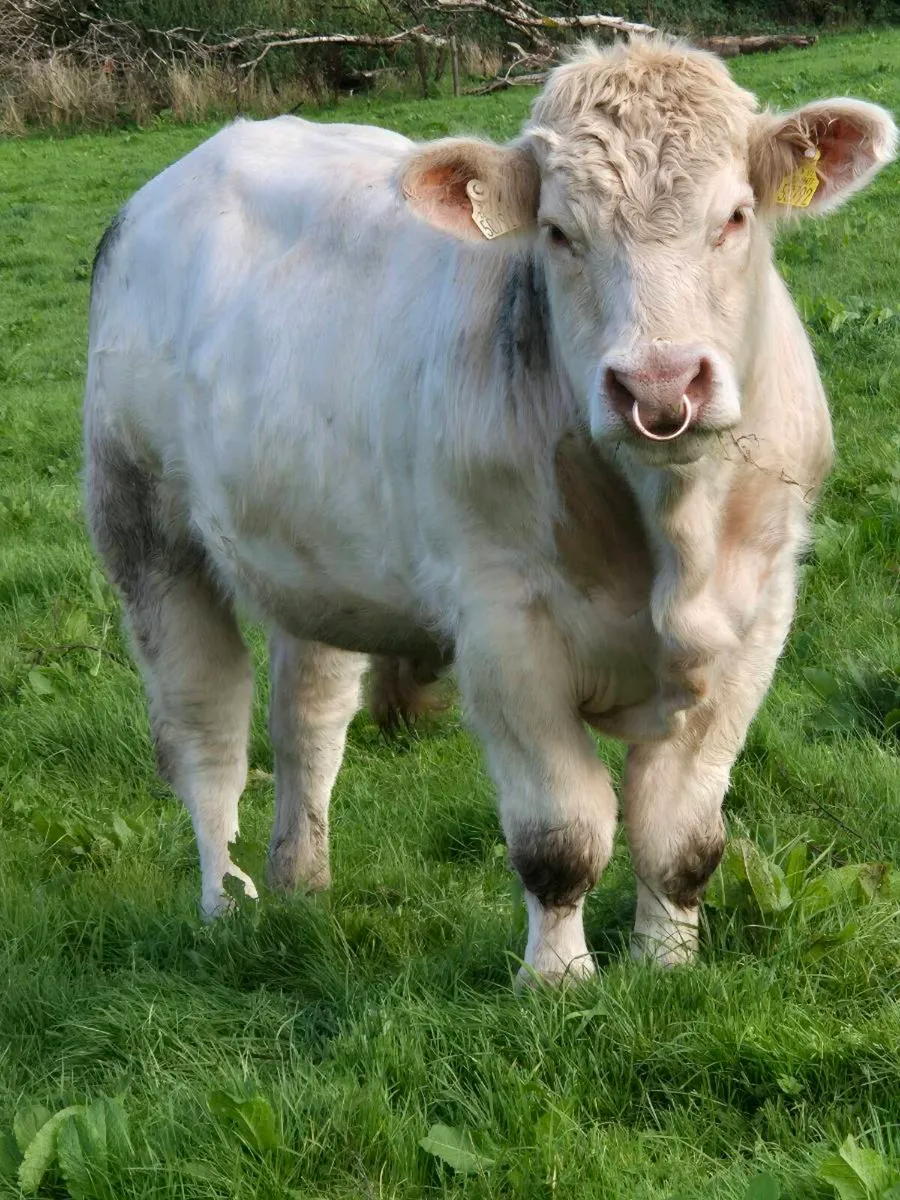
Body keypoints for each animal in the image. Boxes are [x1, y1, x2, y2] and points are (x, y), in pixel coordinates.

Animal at [84, 36, 896, 984]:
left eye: (734, 216)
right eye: (558, 233)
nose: (659, 386)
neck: (674, 538)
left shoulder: (756, 618)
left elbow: (682, 836)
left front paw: (668, 966)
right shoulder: (505, 629)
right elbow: (562, 834)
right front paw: (556, 980)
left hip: (312, 559)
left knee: (307, 720)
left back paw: (303, 880)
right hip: (145, 530)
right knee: (205, 734)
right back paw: (227, 904)